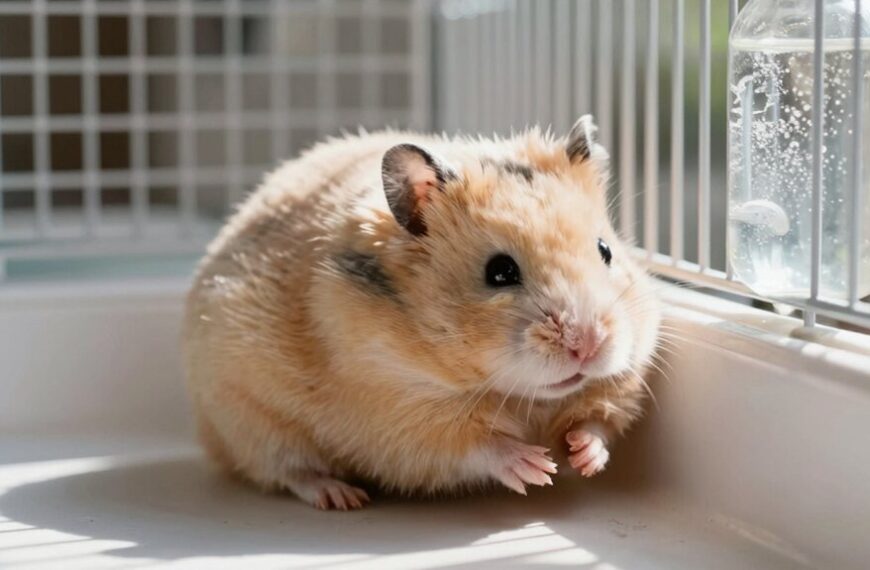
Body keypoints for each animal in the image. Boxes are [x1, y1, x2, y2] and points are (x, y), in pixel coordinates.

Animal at [183, 116, 661, 510]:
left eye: (605, 250)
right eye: (499, 272)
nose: (589, 345)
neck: (519, 394)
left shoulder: (622, 381)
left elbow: (597, 421)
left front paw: (583, 458)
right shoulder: (401, 413)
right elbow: (478, 445)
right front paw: (536, 468)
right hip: (252, 421)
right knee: (288, 471)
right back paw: (341, 496)